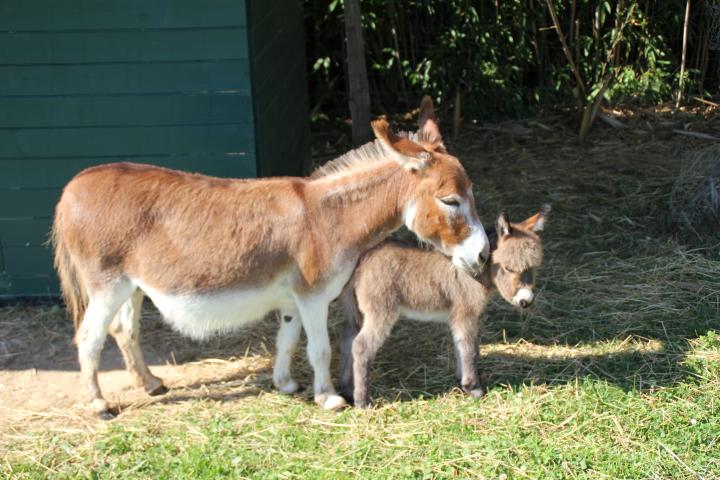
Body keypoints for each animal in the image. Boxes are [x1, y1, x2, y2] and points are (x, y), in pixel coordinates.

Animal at [340, 206, 548, 408]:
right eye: (508, 268)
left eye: (534, 267)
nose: (526, 301)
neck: (479, 272)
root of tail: (362, 260)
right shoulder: (466, 312)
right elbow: (471, 349)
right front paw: (473, 388)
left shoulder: (457, 315)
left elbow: (460, 346)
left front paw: (462, 380)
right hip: (381, 311)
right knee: (361, 346)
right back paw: (363, 402)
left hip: (356, 310)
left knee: (347, 341)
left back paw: (348, 391)